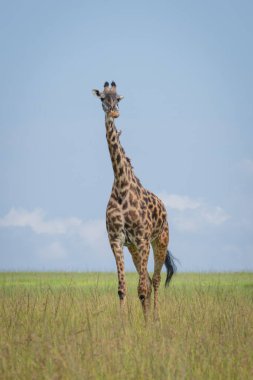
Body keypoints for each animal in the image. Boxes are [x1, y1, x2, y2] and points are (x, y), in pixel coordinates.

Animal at [93, 81, 176, 320]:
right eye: (102, 98)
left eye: (118, 98)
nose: (114, 112)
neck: (121, 185)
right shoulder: (116, 240)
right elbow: (122, 288)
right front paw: (123, 323)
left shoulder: (142, 238)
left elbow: (142, 288)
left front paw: (147, 323)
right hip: (134, 249)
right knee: (147, 279)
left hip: (160, 240)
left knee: (155, 280)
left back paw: (154, 318)